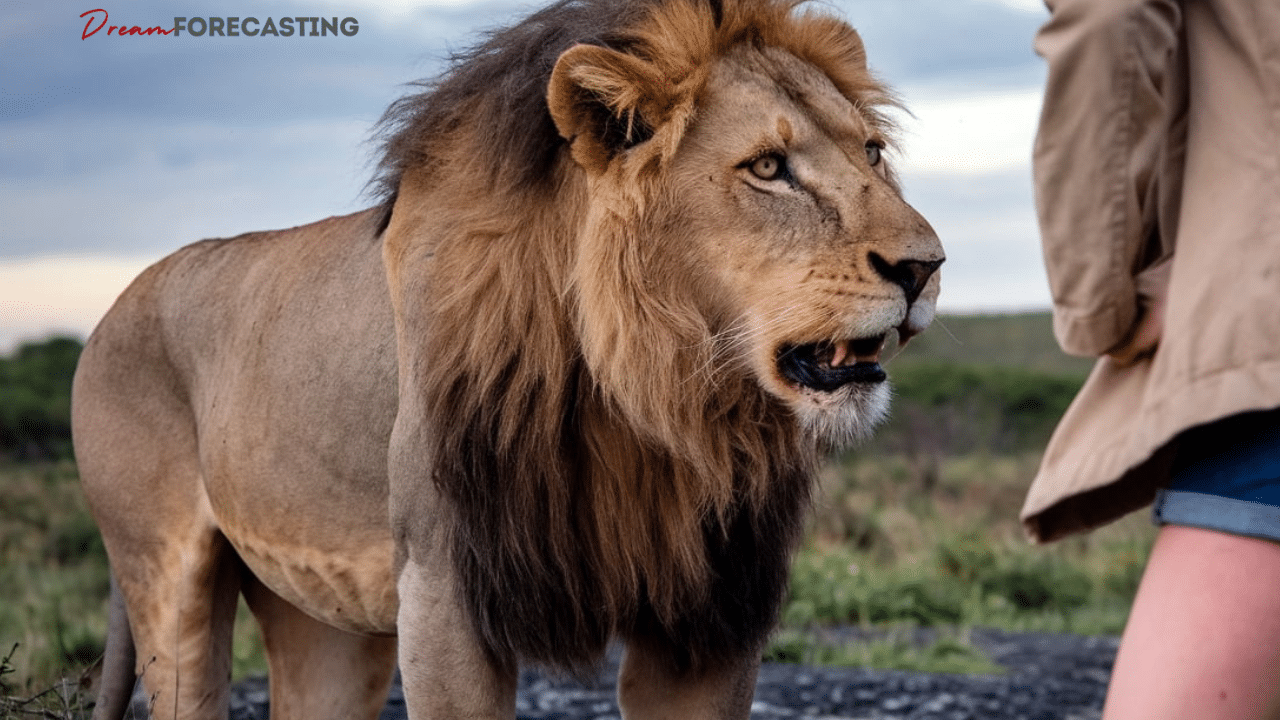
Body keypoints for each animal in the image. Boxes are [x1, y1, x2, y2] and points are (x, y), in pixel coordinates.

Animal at [72, 0, 943, 718]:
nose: (925, 267)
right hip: (164, 582)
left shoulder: (711, 615)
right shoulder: (444, 595)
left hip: (323, 621)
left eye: (872, 153)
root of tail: (114, 305)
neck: (653, 396)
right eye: (767, 167)